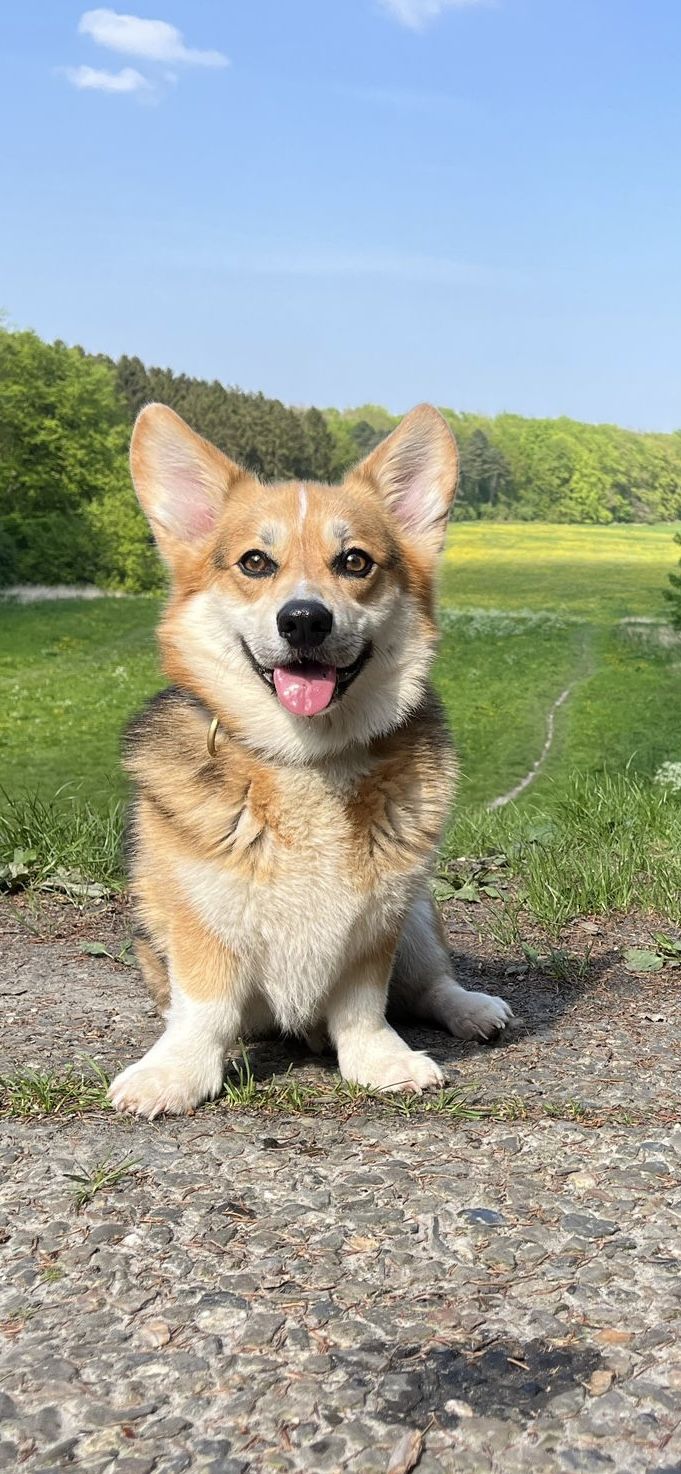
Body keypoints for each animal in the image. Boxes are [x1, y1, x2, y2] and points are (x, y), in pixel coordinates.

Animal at [108, 402, 512, 1118]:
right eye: (254, 562)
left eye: (354, 561)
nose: (303, 620)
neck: (307, 758)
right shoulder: (198, 918)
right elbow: (203, 1008)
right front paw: (174, 1073)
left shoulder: (377, 922)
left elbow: (364, 1004)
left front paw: (378, 1060)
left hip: (418, 915)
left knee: (429, 982)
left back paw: (470, 1009)